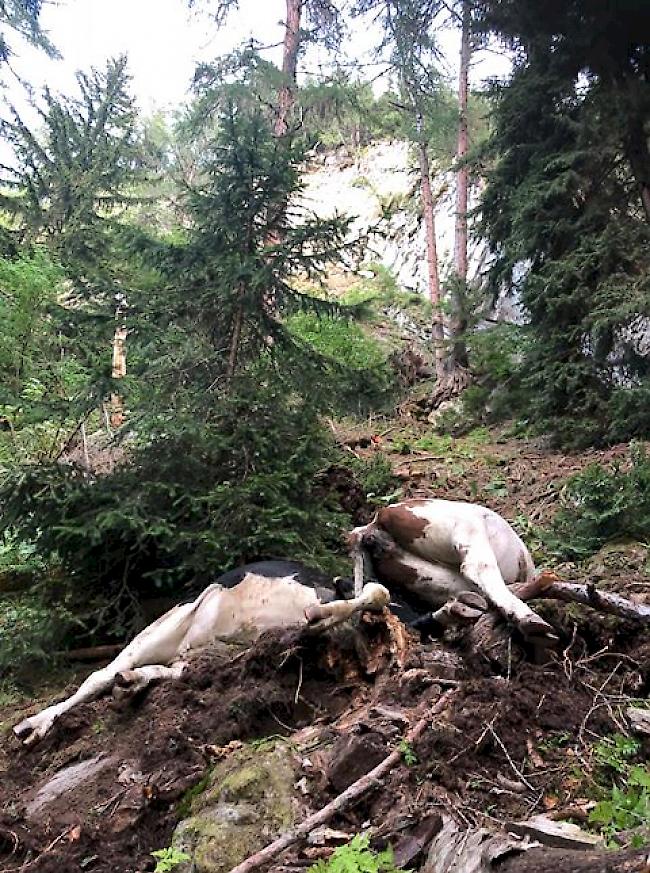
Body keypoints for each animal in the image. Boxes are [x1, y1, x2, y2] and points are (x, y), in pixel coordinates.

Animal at [13, 568, 390, 744]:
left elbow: (375, 593)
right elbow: (375, 591)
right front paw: (321, 614)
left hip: (195, 655)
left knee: (169, 671)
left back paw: (133, 683)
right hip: (164, 628)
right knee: (98, 676)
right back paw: (35, 724)